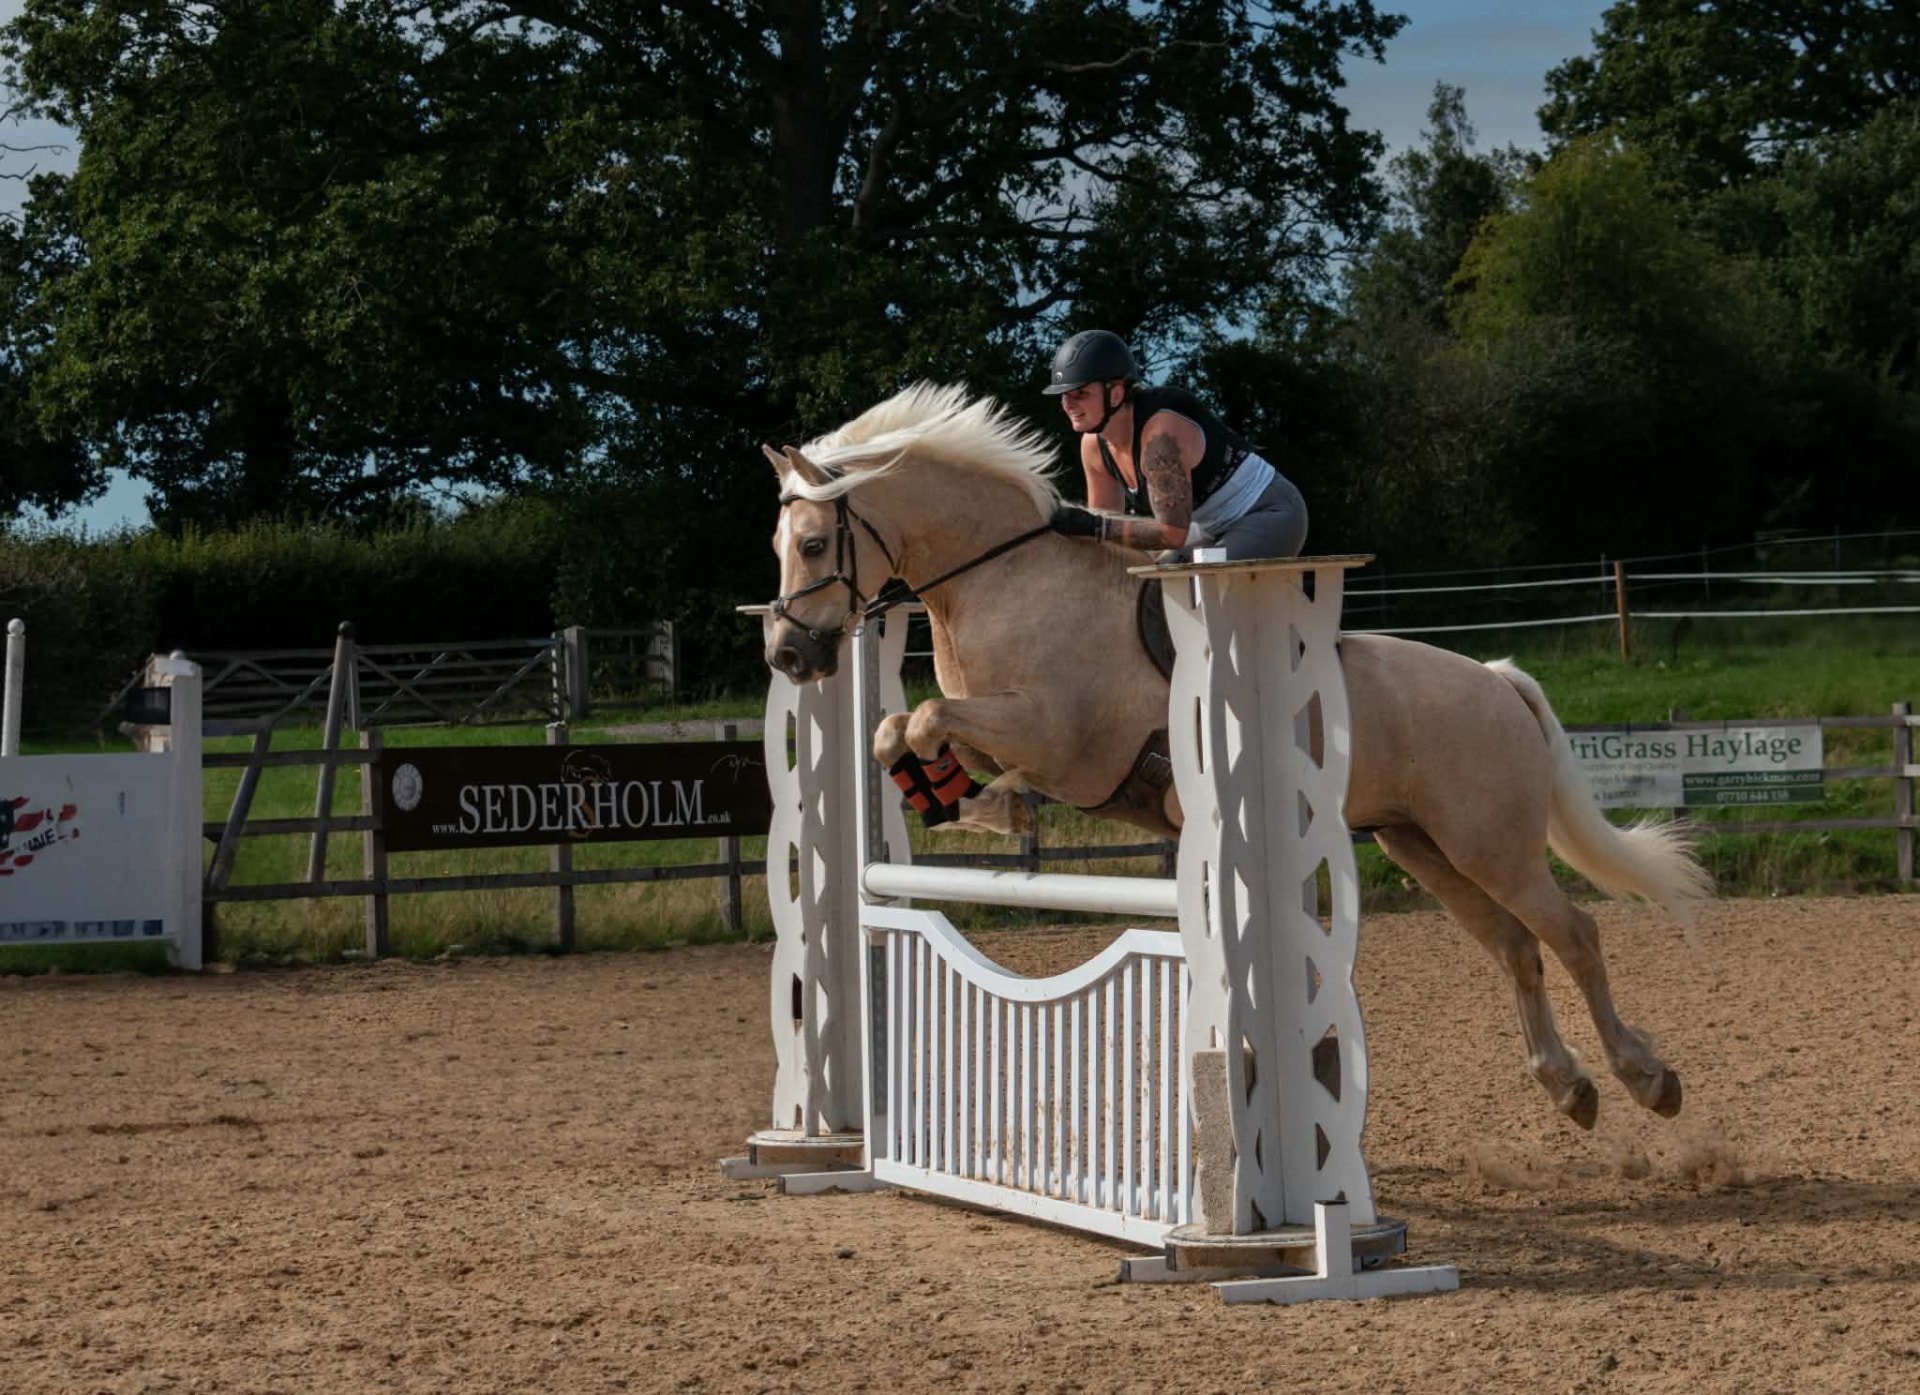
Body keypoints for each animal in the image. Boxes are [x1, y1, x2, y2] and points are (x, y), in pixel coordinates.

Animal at [760, 382, 1713, 1132]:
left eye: (812, 544)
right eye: (779, 549)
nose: (790, 657)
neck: (1000, 583)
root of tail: (1496, 678)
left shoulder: (1060, 735)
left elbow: (926, 719)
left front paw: (988, 800)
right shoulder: (1017, 732)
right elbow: (899, 732)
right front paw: (972, 802)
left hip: (1491, 844)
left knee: (1572, 932)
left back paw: (1647, 1077)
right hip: (1423, 845)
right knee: (1516, 946)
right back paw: (1568, 1087)